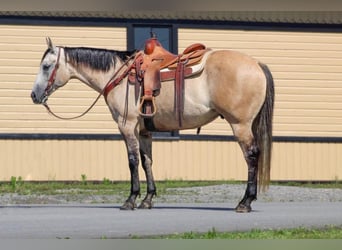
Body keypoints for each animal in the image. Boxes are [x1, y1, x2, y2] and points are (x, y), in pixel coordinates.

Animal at [30, 37, 274, 213]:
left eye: (46, 66)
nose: (34, 95)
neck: (117, 75)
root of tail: (257, 64)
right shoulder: (144, 132)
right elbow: (147, 162)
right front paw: (147, 199)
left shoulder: (127, 126)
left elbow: (132, 161)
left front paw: (130, 199)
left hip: (240, 125)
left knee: (252, 156)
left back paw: (245, 202)